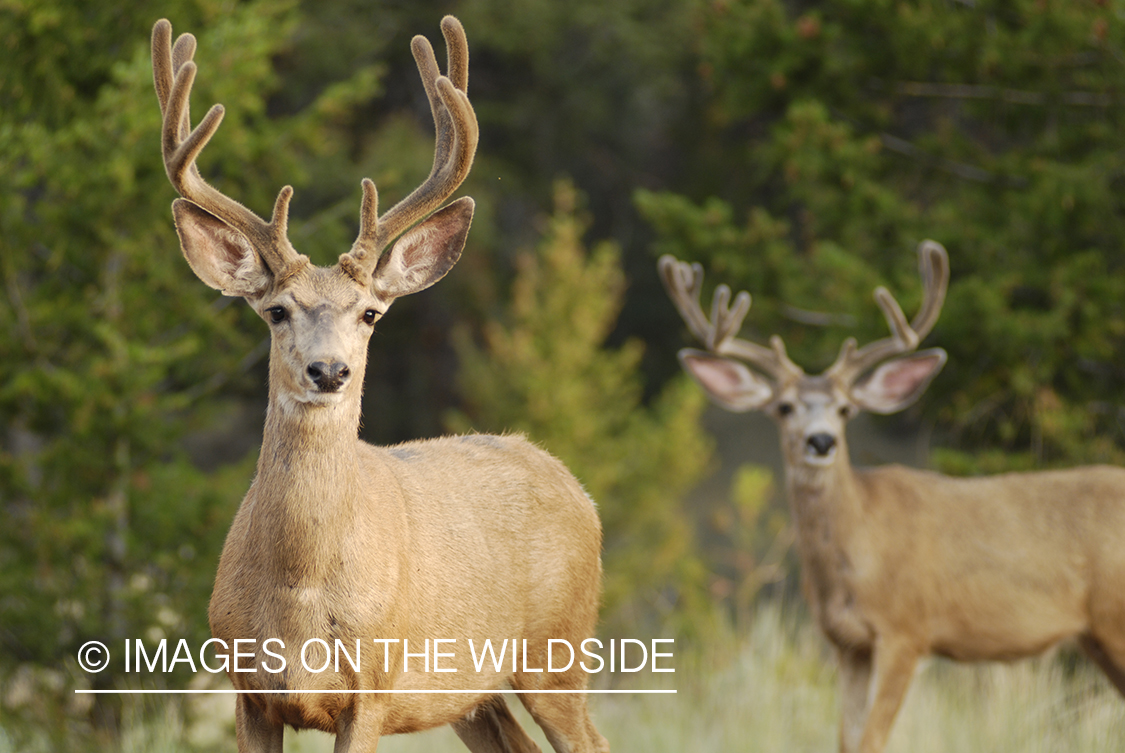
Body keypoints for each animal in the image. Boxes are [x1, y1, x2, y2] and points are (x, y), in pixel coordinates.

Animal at [151, 17, 610, 753]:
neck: (301, 594)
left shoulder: (371, 690)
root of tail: (575, 486)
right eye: (276, 311)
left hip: (559, 651)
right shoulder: (247, 691)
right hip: (471, 695)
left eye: (370, 313)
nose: (329, 370)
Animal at [659, 242, 1125, 753]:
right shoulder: (848, 644)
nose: (821, 441)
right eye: (783, 407)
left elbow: (871, 740)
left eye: (845, 409)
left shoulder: (906, 630)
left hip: (1116, 618)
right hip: (1098, 637)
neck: (859, 553)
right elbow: (846, 739)